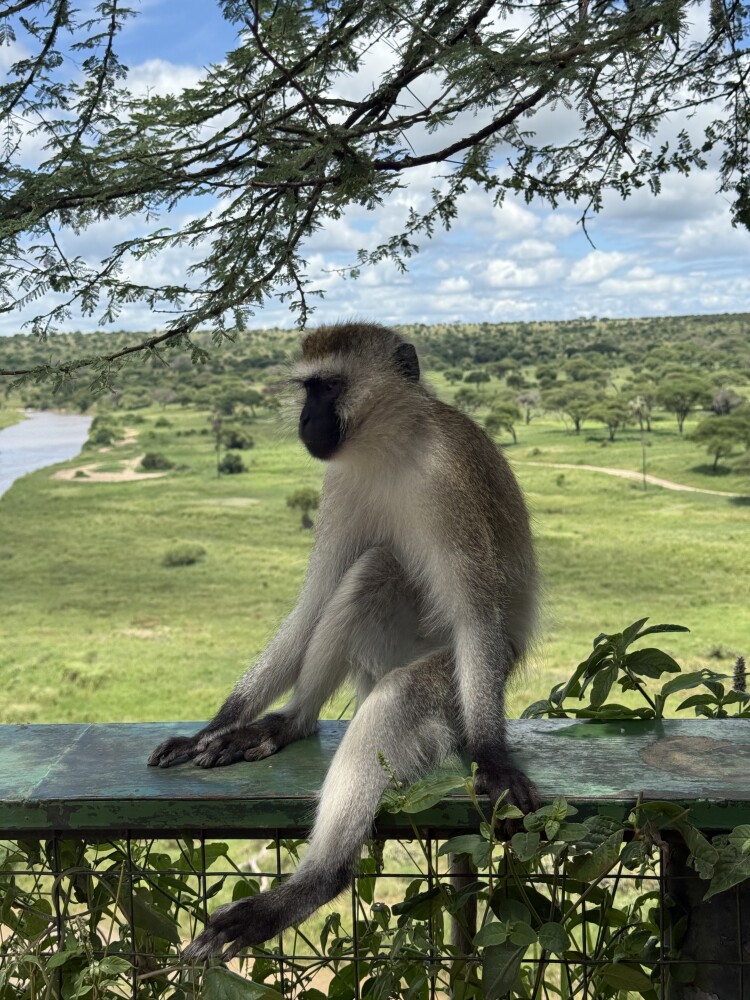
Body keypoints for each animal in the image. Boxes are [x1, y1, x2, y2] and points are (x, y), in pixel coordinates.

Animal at [148, 322, 539, 961]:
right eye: (307, 389)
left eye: (328, 387)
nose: (308, 418)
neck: (388, 449)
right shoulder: (339, 483)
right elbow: (314, 601)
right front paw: (217, 725)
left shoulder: (448, 481)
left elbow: (477, 616)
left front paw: (494, 757)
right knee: (367, 572)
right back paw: (286, 724)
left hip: (453, 678)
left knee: (402, 690)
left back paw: (311, 883)